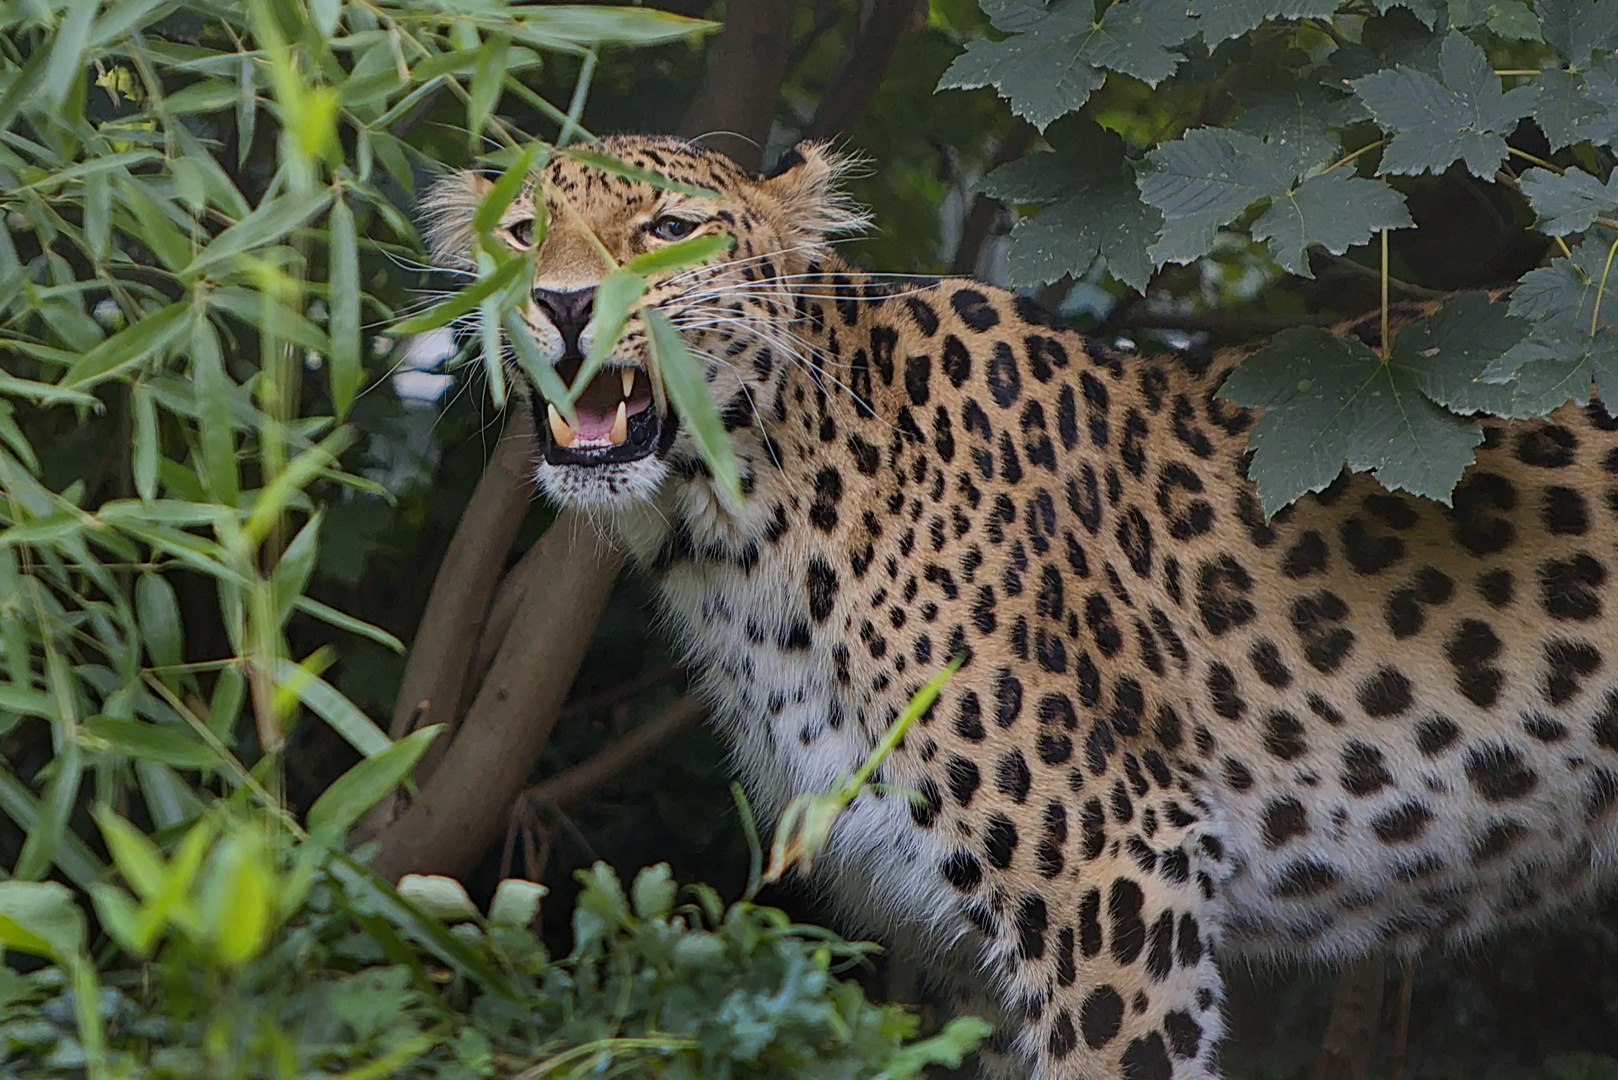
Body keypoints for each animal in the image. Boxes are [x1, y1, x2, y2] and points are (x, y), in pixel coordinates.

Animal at [427, 135, 1618, 1080]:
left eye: (670, 230)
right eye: (523, 234)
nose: (561, 303)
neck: (733, 544)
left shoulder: (1114, 880)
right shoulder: (964, 949)